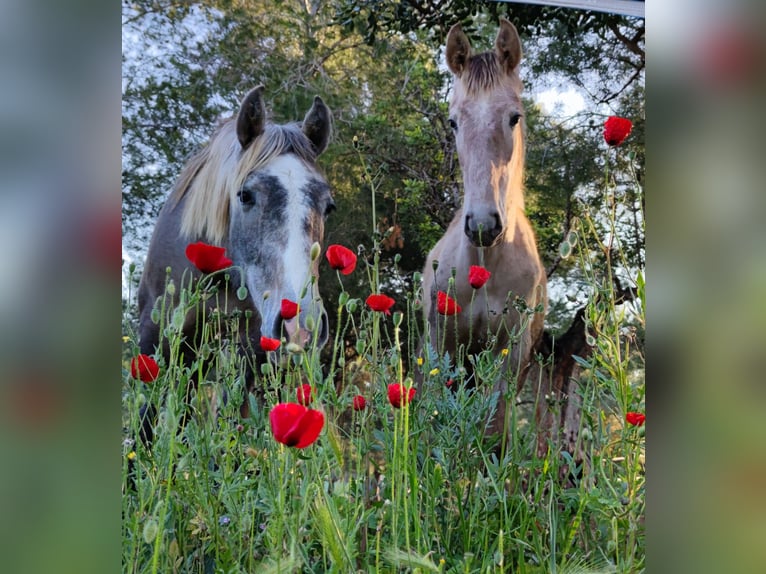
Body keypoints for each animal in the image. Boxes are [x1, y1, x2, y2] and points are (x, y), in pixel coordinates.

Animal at [136, 86, 335, 441]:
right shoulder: (156, 334)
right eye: (245, 195)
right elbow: (147, 421)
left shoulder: (251, 347)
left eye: (328, 206)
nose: (301, 326)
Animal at [421, 20, 548, 446]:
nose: (483, 225)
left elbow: (493, 431)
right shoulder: (442, 344)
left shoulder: (509, 353)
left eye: (514, 117)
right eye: (453, 121)